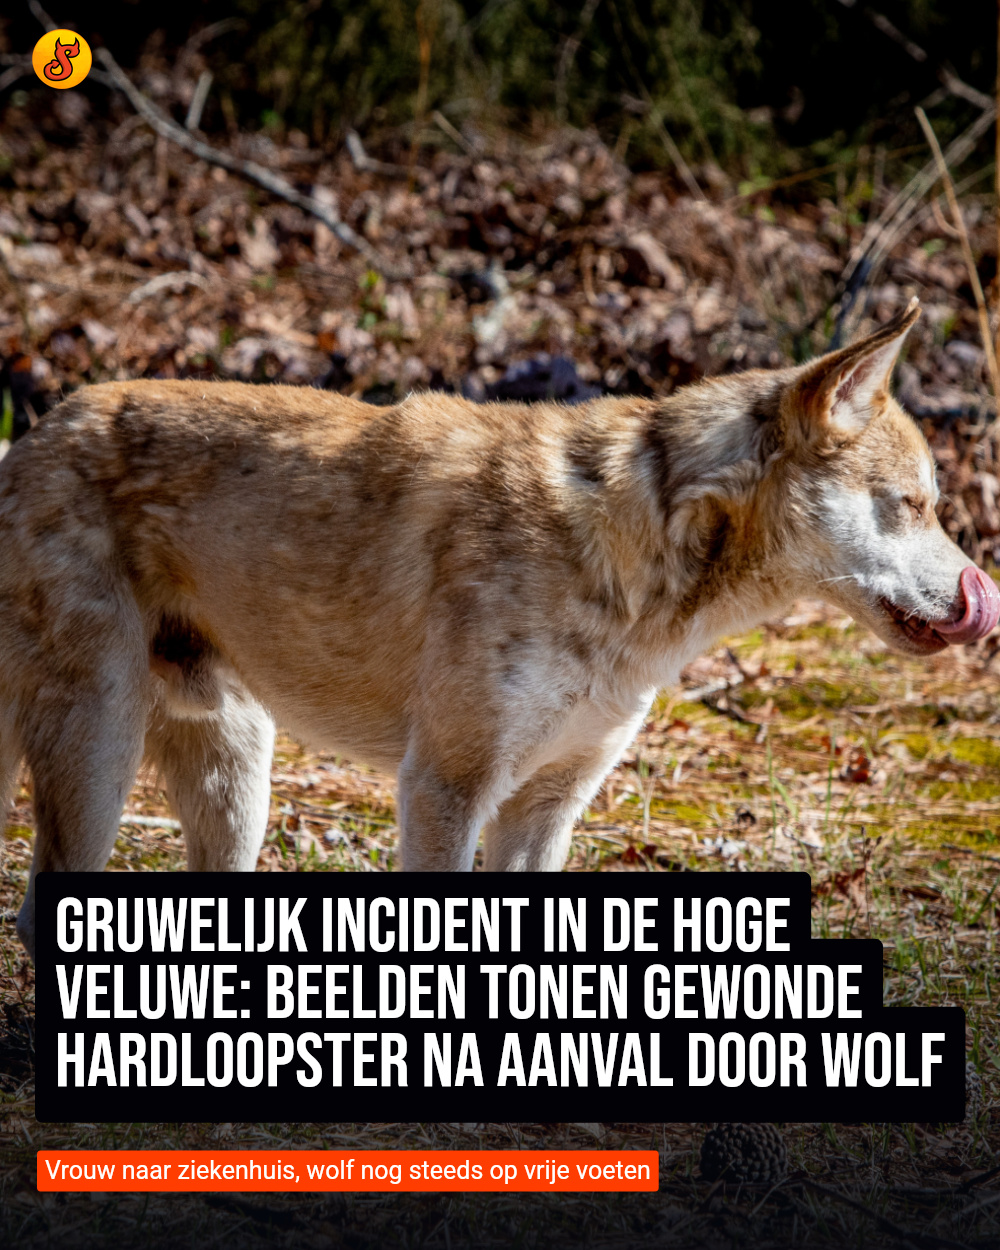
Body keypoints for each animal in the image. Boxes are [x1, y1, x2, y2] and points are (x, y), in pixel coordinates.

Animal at [1, 298, 996, 958]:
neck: (628, 548)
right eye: (916, 505)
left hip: (235, 782)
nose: (981, 597)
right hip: (104, 762)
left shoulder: (547, 805)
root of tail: (32, 434)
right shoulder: (447, 784)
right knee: (38, 907)